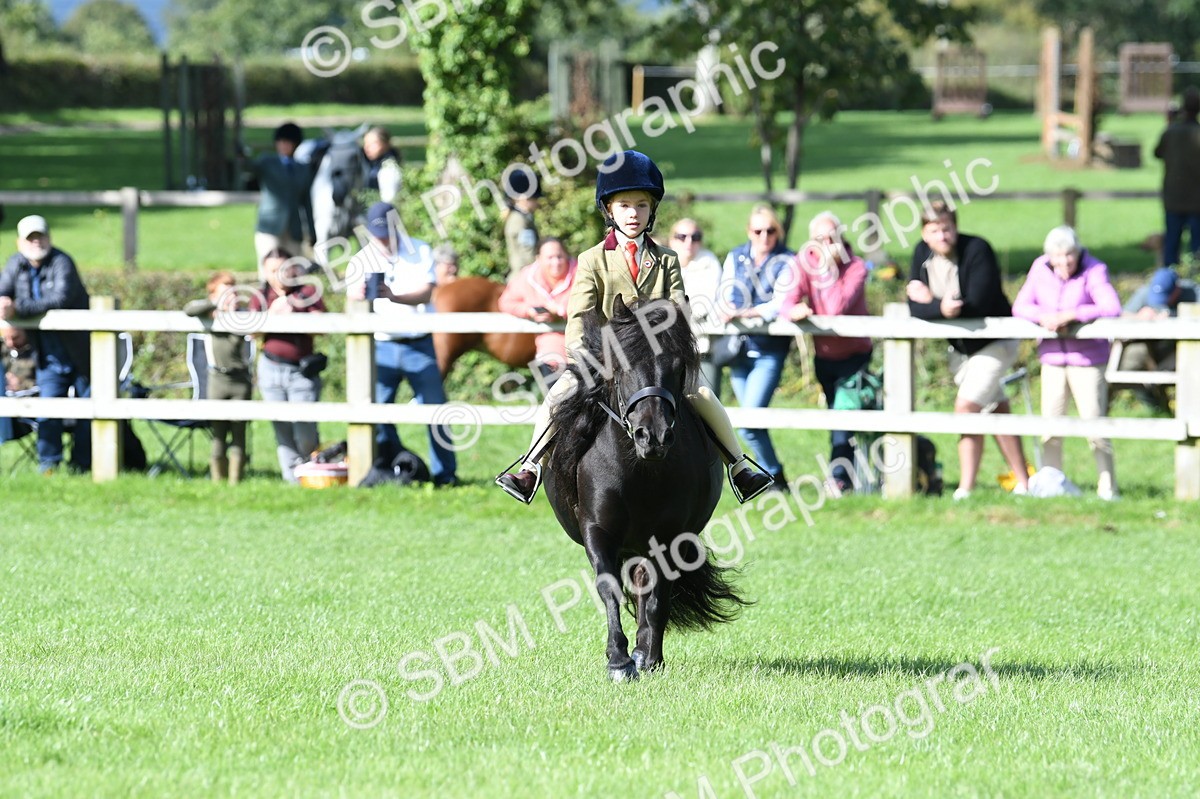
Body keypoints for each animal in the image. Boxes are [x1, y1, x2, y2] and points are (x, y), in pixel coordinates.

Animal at [543, 296, 748, 681]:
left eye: (677, 365)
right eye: (622, 363)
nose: (653, 437)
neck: (641, 470)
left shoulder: (670, 538)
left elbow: (656, 598)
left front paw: (648, 658)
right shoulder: (597, 531)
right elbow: (609, 589)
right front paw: (619, 661)